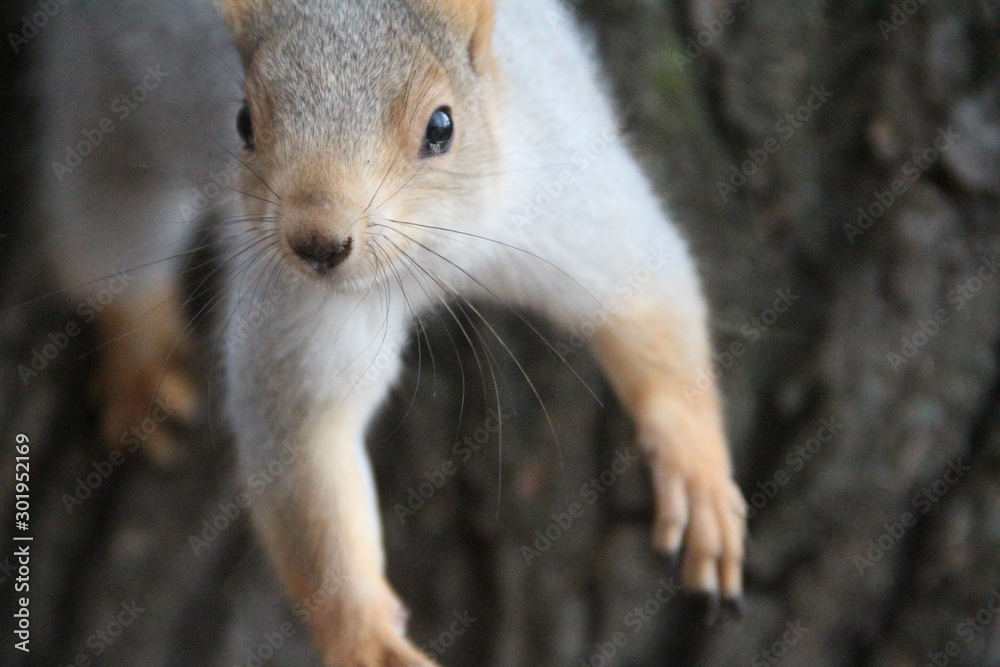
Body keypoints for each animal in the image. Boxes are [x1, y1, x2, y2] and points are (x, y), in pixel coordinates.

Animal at [35, 0, 747, 664]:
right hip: (93, 91)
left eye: (442, 126)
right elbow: (307, 450)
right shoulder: (297, 311)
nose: (317, 242)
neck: (424, 260)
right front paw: (366, 640)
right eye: (243, 123)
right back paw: (140, 357)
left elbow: (646, 293)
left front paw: (696, 473)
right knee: (100, 223)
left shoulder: (568, 194)